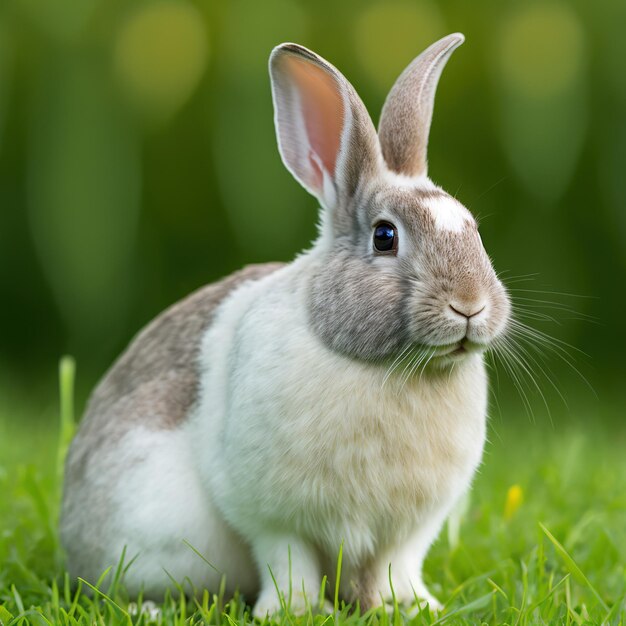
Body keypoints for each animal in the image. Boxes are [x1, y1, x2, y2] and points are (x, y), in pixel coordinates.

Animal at [61, 31, 512, 612]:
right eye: (384, 236)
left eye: (473, 227)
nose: (470, 305)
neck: (390, 369)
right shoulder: (271, 517)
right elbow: (286, 558)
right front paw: (296, 610)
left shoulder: (409, 529)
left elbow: (397, 565)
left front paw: (408, 606)